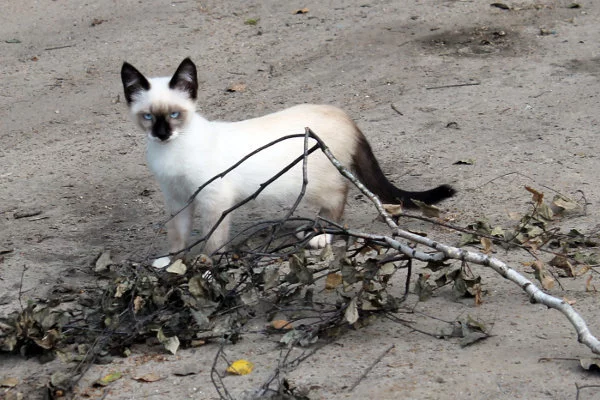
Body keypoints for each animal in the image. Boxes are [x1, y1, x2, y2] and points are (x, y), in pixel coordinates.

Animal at [119, 57, 454, 268]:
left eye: (175, 115)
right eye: (148, 117)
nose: (162, 134)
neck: (171, 152)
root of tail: (343, 115)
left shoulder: (214, 198)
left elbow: (213, 240)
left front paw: (207, 266)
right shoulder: (177, 198)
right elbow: (177, 235)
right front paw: (171, 262)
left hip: (317, 181)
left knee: (338, 199)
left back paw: (320, 236)